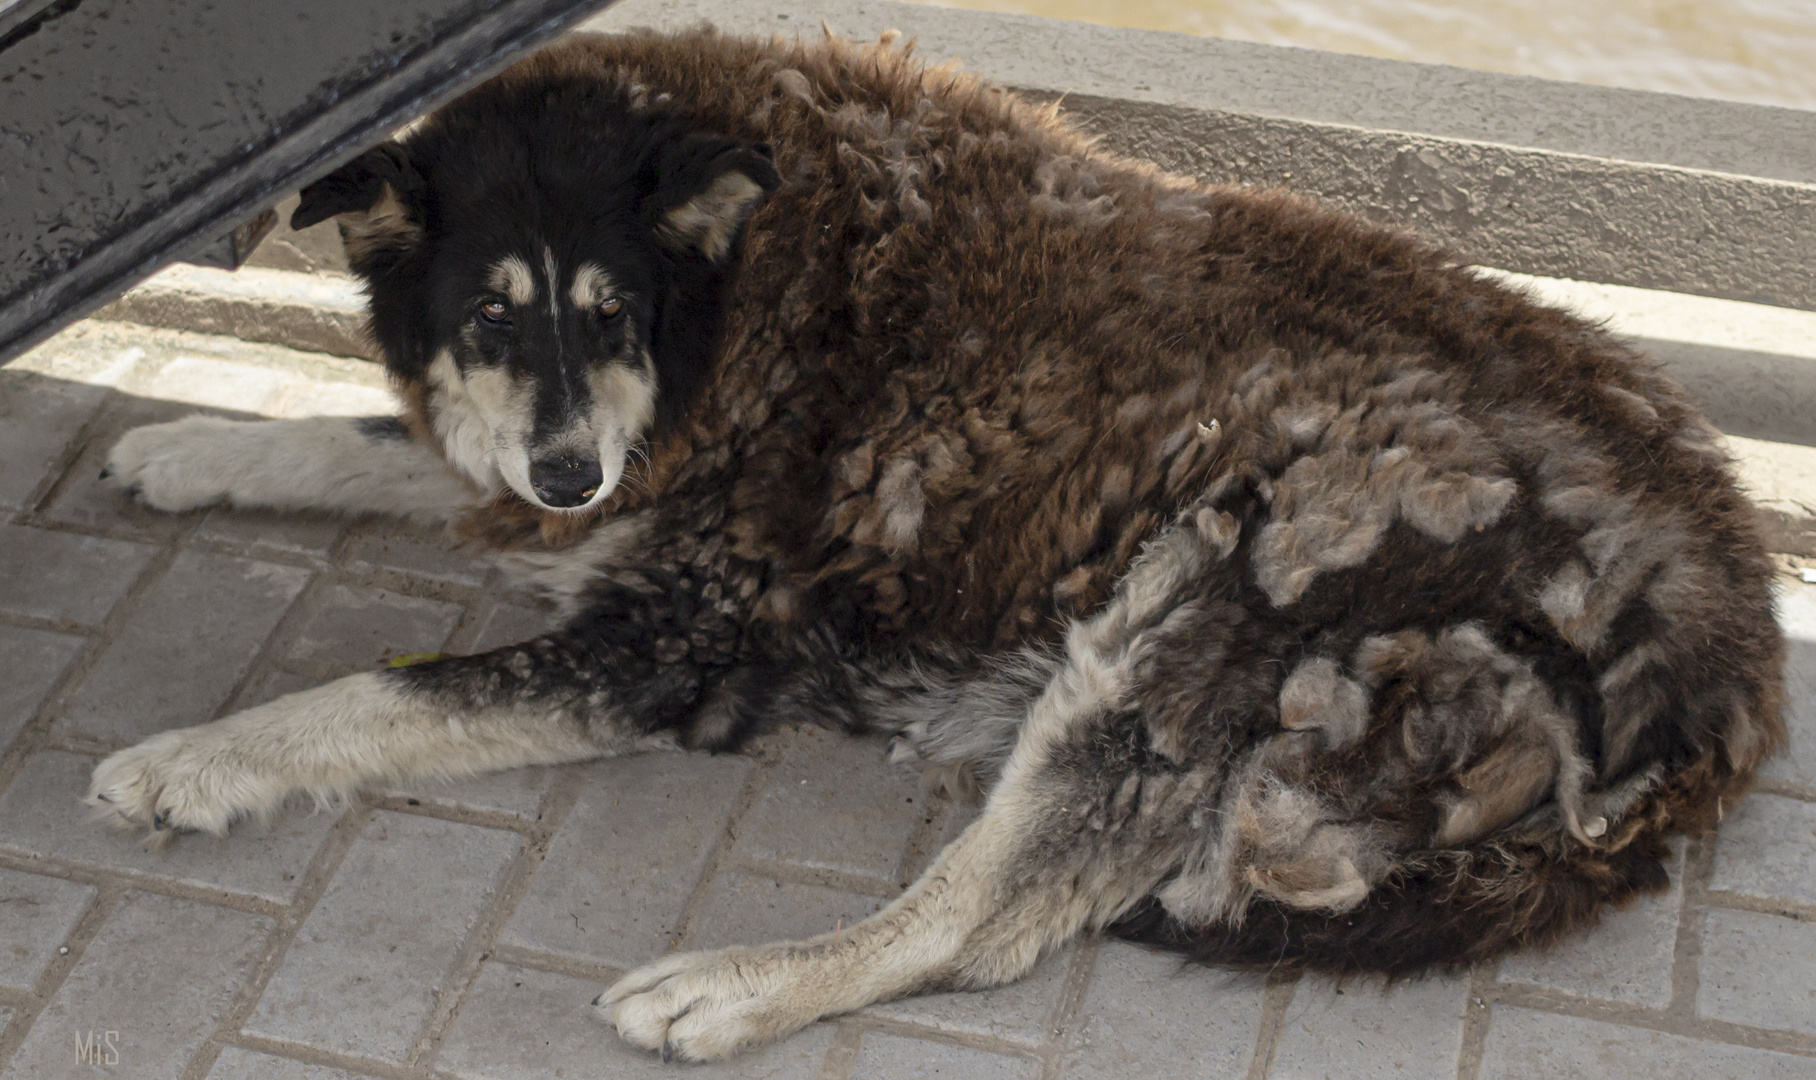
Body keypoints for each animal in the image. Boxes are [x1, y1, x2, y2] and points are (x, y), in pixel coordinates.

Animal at [81, 25, 1772, 1067]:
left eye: (612, 314)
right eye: (489, 319)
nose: (568, 469)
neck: (743, 287)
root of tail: (1732, 652)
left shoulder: (670, 633)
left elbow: (375, 691)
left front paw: (197, 757)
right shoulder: (584, 492)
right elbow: (374, 452)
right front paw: (196, 450)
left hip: (1200, 592)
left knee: (987, 920)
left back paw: (735, 986)